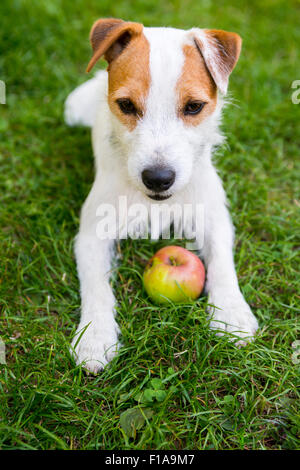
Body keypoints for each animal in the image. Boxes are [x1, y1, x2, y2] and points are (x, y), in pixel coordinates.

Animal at [64, 17, 258, 374]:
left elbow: (223, 263)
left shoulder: (214, 217)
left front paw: (231, 312)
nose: (158, 179)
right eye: (126, 105)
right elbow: (96, 286)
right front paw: (95, 336)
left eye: (194, 107)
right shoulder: (91, 235)